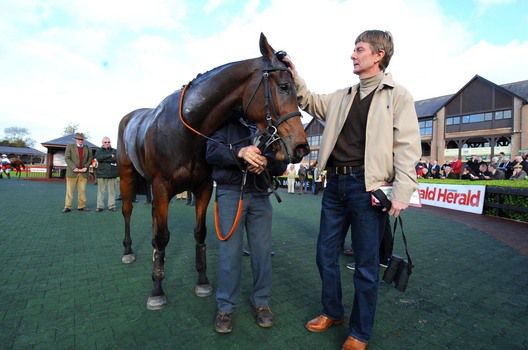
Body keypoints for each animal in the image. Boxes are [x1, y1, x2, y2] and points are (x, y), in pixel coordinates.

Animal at [117, 34, 310, 310]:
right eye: (284, 87)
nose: (301, 147)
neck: (183, 131)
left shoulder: (204, 187)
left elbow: (200, 232)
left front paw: (202, 281)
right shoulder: (162, 187)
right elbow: (163, 237)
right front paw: (156, 289)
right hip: (127, 175)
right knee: (127, 211)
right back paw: (128, 250)